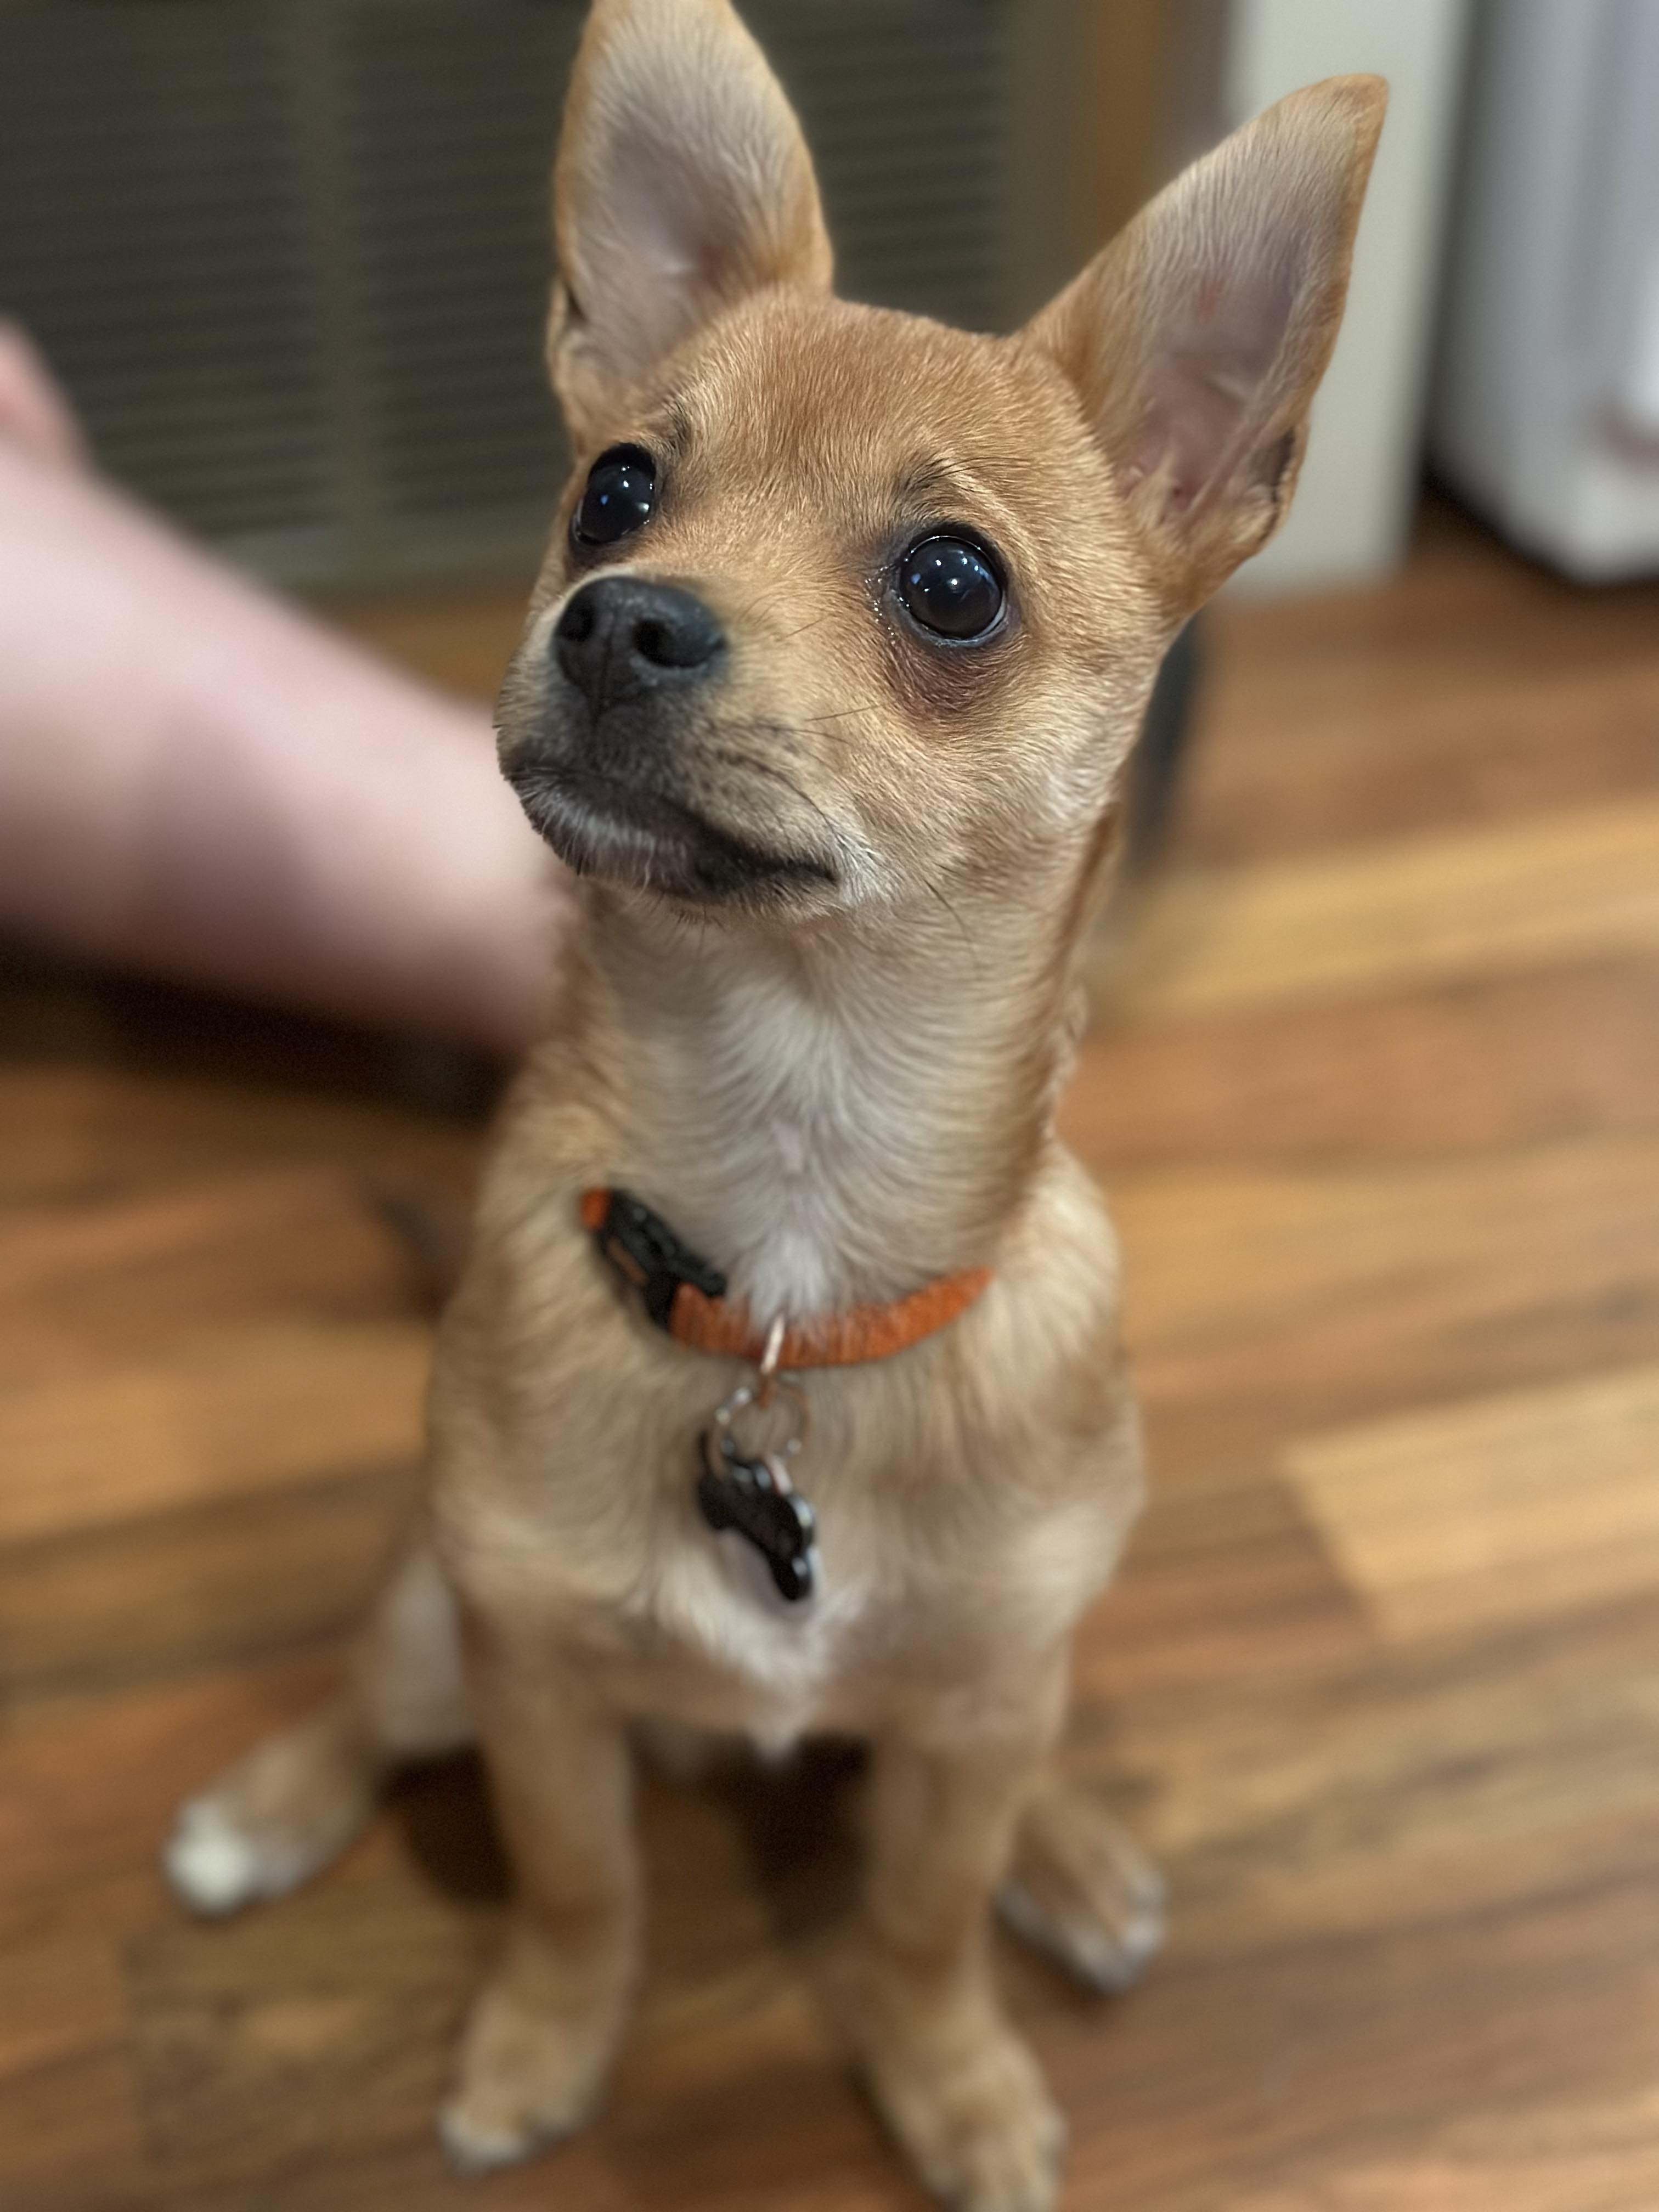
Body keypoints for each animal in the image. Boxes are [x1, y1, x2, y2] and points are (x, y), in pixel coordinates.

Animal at [164, 9, 1382, 2205]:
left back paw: (1071, 1857)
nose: (619, 614)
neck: (788, 1258)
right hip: (434, 1618)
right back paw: (267, 1809)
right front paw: (540, 2043)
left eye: (953, 584)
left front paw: (950, 2074)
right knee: (372, 1695)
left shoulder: (970, 1714)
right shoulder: (537, 1691)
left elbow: (916, 1919)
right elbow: (579, 1893)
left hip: (1006, 1667)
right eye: (615, 489)